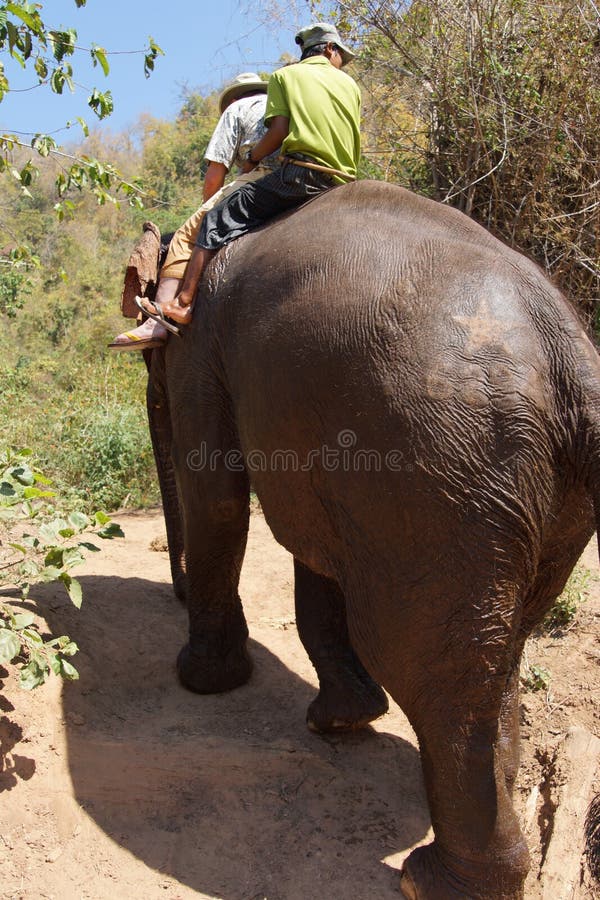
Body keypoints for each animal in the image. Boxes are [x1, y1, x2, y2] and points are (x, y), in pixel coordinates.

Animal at [142, 180, 600, 899]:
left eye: (150, 365)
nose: (176, 592)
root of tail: (569, 354)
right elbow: (312, 541)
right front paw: (340, 720)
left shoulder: (198, 345)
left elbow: (216, 498)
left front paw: (202, 681)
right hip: (537, 500)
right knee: (499, 653)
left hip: (441, 475)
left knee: (432, 670)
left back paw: (431, 880)